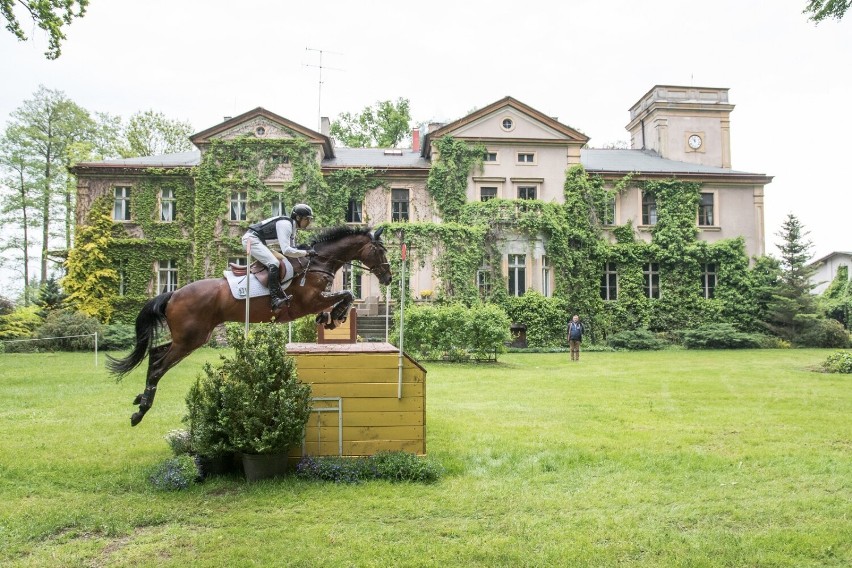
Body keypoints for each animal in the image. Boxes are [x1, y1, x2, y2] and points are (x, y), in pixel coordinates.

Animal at [105, 224, 392, 424]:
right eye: (380, 250)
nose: (388, 277)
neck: (317, 262)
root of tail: (173, 294)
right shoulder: (309, 300)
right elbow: (347, 294)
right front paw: (336, 315)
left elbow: (345, 296)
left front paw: (331, 317)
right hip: (190, 339)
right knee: (158, 367)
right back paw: (140, 411)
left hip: (189, 338)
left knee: (155, 354)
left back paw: (140, 398)